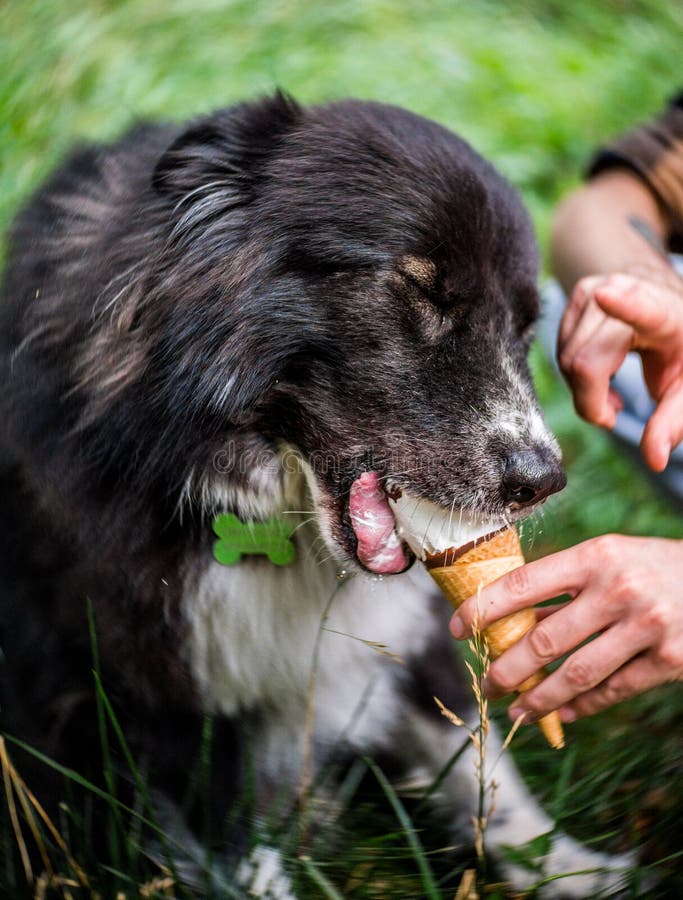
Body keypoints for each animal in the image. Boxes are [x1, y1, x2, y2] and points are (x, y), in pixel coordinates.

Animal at [1, 91, 632, 892]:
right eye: (419, 290)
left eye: (525, 327)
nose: (541, 480)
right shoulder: (159, 693)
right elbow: (231, 844)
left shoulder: (414, 628)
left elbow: (477, 759)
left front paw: (564, 868)